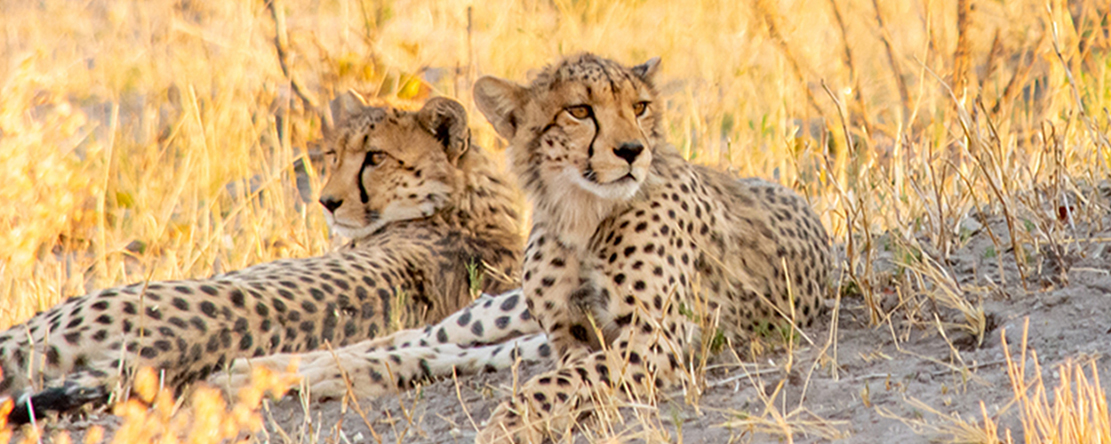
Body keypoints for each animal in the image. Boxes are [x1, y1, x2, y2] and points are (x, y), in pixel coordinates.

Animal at [467, 53, 833, 443]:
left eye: (639, 107)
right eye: (579, 111)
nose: (631, 150)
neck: (581, 214)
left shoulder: (653, 338)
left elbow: (565, 379)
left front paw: (509, 422)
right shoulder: (566, 335)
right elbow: (569, 369)